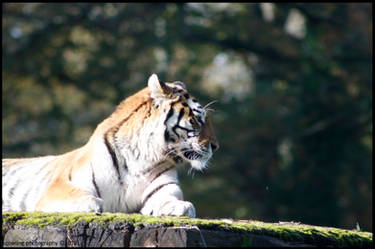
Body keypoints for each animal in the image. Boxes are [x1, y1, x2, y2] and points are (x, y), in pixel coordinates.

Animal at [2, 74, 219, 218]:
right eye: (197, 119)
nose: (215, 146)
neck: (142, 157)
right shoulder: (59, 187)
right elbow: (81, 196)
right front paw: (91, 204)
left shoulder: (162, 190)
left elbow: (170, 199)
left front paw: (181, 207)